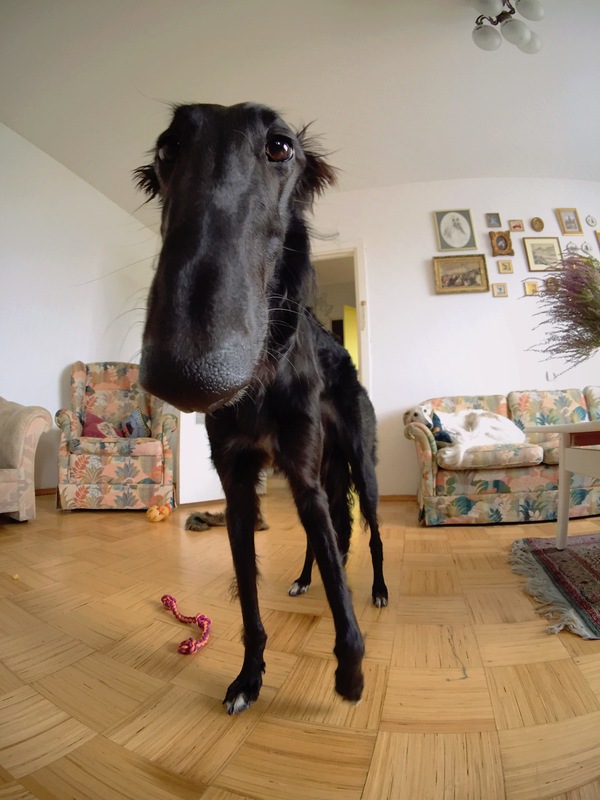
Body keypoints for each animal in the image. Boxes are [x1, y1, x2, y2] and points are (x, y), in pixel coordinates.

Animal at [135, 103, 386, 716]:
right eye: (166, 149)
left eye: (280, 146)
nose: (191, 372)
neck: (262, 389)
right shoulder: (239, 486)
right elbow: (249, 602)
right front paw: (249, 677)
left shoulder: (302, 472)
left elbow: (342, 596)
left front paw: (351, 673)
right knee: (330, 537)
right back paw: (303, 580)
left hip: (359, 466)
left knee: (369, 532)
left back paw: (377, 589)